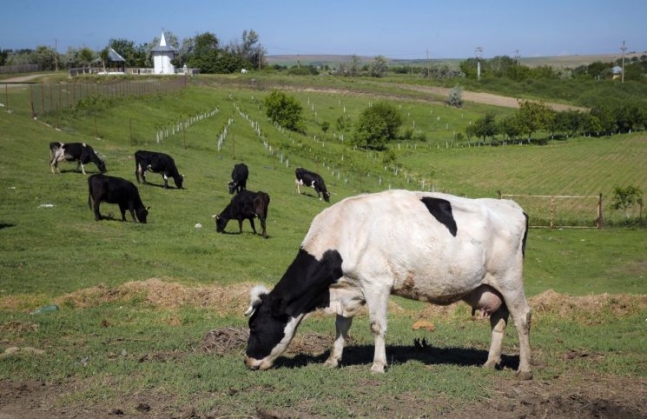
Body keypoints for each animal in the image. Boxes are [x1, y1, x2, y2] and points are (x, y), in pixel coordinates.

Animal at [243, 190, 532, 380]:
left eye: (255, 326)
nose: (247, 361)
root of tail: (512, 206)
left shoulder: (377, 283)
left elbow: (377, 326)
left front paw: (377, 366)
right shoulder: (349, 289)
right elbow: (341, 326)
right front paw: (332, 360)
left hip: (510, 280)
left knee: (522, 317)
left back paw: (525, 369)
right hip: (491, 288)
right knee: (499, 322)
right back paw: (490, 362)